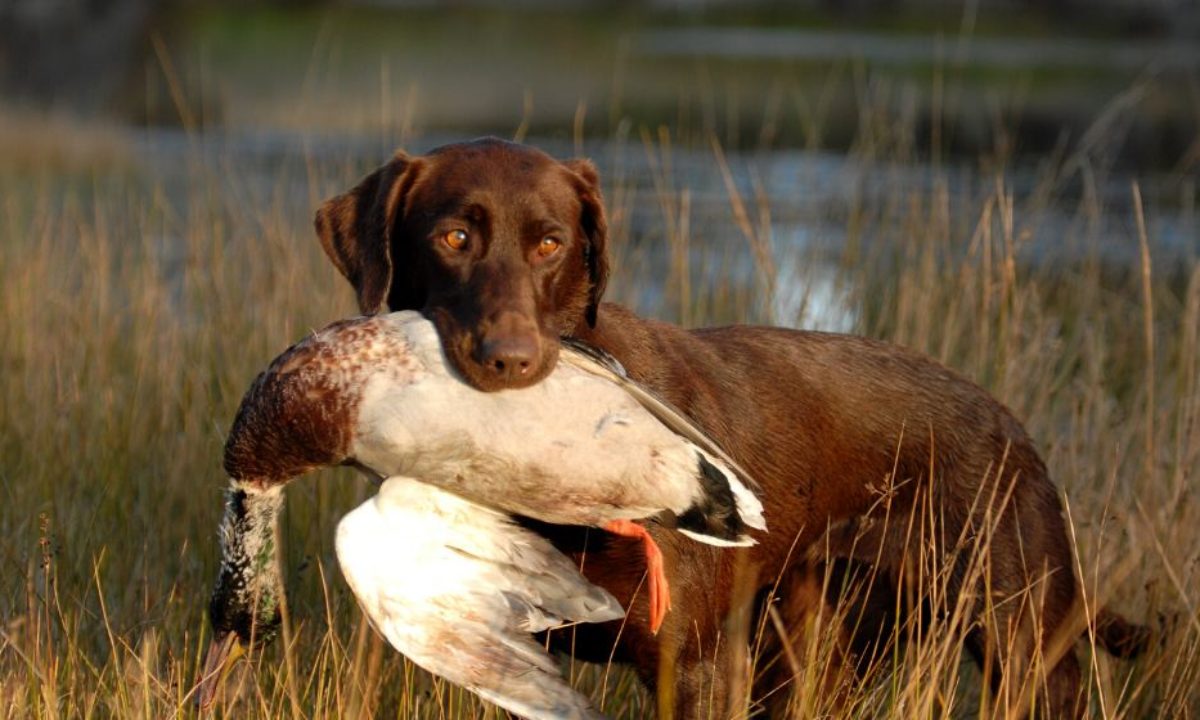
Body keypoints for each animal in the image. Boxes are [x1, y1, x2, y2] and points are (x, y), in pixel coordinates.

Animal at [314, 138, 1147, 715]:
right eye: (454, 238)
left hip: (1024, 647)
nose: (509, 360)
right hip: (818, 655)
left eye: (551, 243)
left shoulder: (696, 666)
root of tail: (1014, 426)